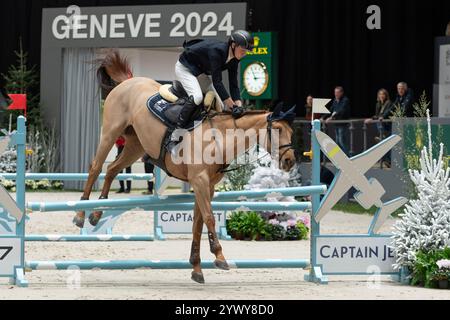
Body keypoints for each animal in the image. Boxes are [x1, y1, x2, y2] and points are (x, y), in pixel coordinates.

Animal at [73, 50, 298, 282]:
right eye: (278, 129)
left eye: (292, 131)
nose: (289, 160)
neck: (218, 137)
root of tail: (128, 81)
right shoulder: (199, 180)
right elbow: (208, 218)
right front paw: (219, 257)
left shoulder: (207, 186)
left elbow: (197, 223)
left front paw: (196, 268)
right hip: (111, 132)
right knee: (96, 167)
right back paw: (80, 214)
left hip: (135, 144)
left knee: (112, 170)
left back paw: (96, 214)